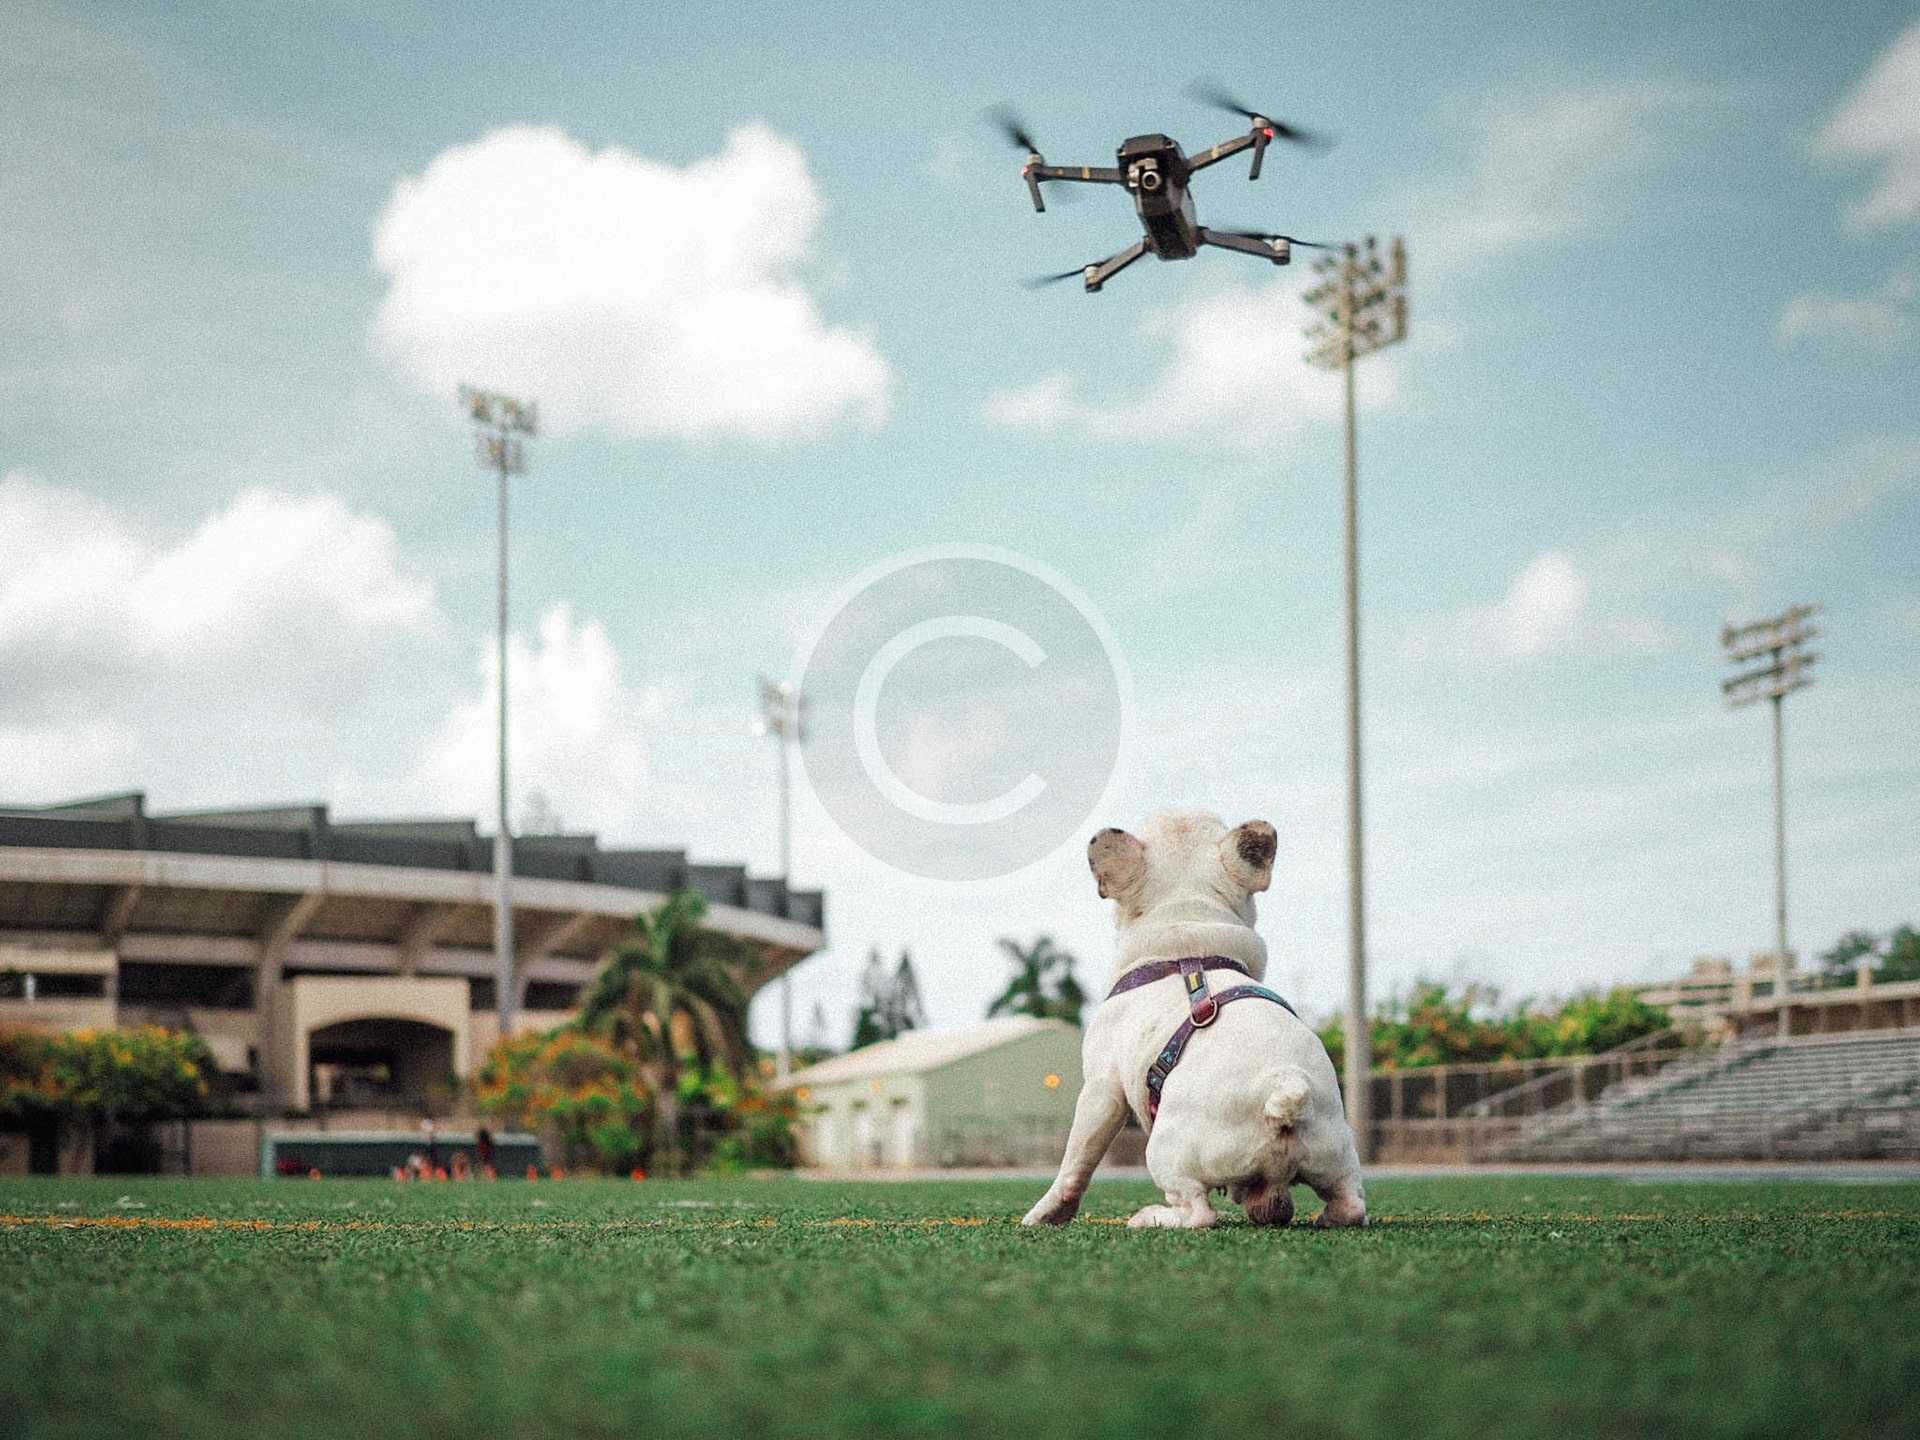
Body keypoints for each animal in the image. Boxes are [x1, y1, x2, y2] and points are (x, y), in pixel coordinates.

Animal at [1021, 814, 1367, 1228]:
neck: (1187, 936)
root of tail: (1284, 1088)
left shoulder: (1102, 1087)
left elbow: (1078, 1158)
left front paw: (1045, 1213)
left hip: (1166, 1152)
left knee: (1198, 1212)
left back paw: (1150, 1217)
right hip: (1337, 1152)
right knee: (1350, 1204)